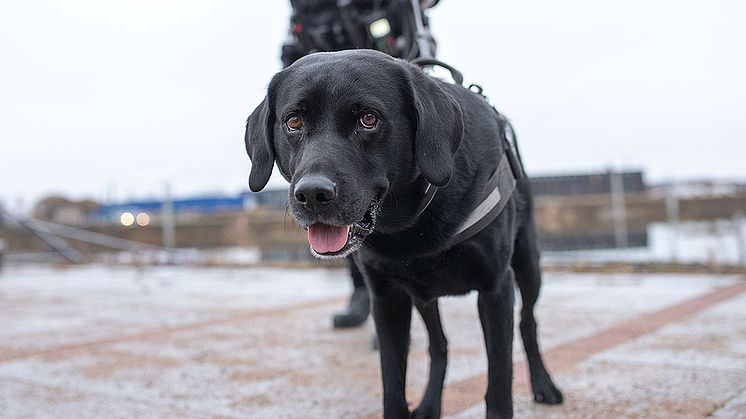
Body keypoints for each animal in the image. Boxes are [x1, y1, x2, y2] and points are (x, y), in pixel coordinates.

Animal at [244, 48, 560, 416]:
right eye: (293, 122)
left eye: (369, 119)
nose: (312, 194)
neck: (411, 225)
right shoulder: (387, 298)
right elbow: (393, 385)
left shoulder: (496, 287)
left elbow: (499, 384)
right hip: (422, 296)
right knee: (439, 345)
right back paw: (429, 405)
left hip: (528, 265)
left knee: (527, 323)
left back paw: (544, 384)